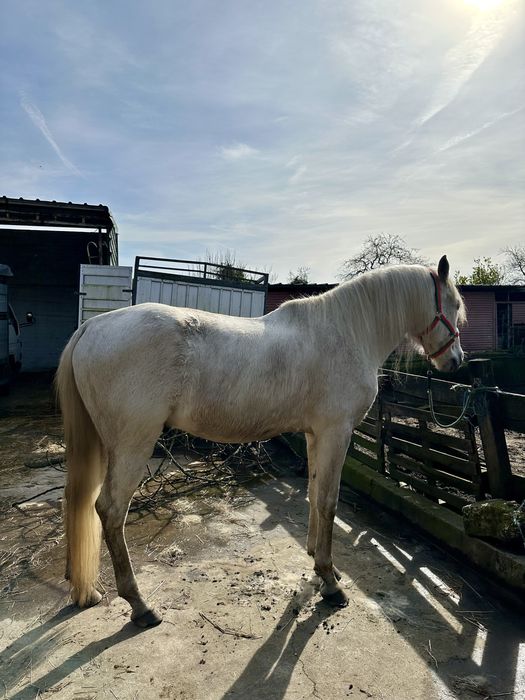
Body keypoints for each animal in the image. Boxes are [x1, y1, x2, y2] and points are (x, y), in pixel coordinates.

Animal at [56, 255, 465, 628]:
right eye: (454, 305)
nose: (456, 362)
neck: (347, 332)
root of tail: (92, 326)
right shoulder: (336, 433)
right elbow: (329, 503)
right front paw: (330, 582)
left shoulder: (316, 434)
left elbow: (314, 495)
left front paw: (319, 563)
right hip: (132, 444)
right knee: (110, 511)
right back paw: (140, 606)